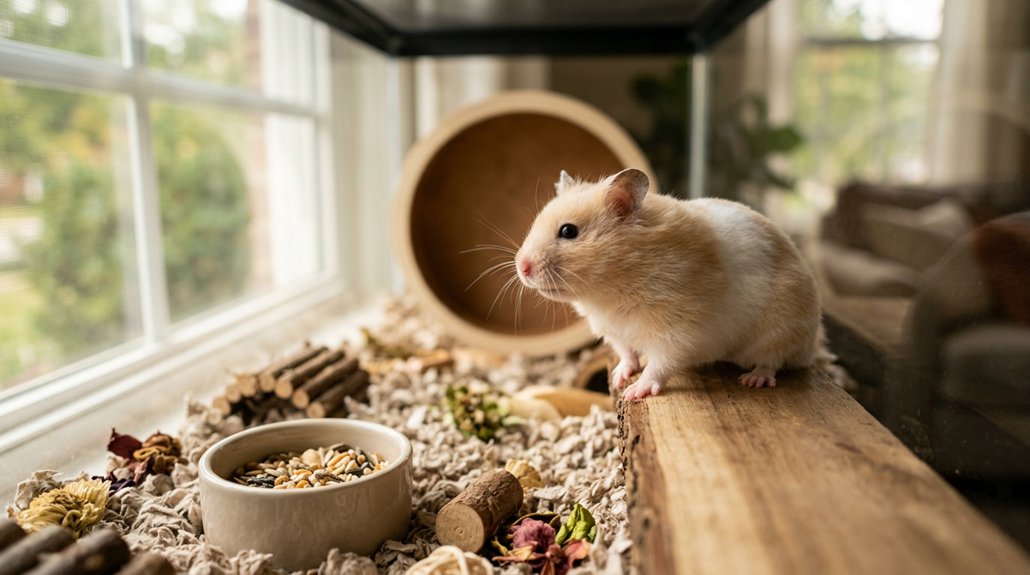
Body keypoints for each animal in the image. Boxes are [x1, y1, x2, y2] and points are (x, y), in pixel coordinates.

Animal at [515, 168, 823, 401]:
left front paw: (634, 392)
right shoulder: (615, 332)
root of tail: (810, 346)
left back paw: (753, 379)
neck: (609, 292)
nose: (522, 267)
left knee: (773, 360)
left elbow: (659, 366)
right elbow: (627, 354)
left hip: (782, 328)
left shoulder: (677, 334)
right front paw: (619, 377)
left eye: (568, 231)